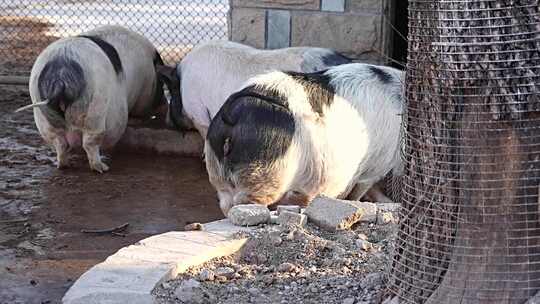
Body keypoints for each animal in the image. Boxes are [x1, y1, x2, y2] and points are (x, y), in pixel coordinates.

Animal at [205, 63, 402, 215]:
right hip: (263, 173)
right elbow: (360, 191)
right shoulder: (377, 165)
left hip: (218, 175)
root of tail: (234, 112)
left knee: (225, 203)